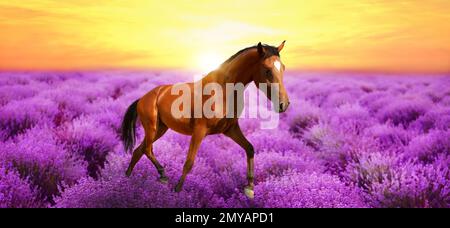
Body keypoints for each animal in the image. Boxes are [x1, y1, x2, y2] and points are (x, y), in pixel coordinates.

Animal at [120, 41, 288, 198]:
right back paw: (162, 175)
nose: (284, 104)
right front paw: (177, 190)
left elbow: (250, 148)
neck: (222, 91)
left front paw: (250, 188)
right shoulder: (199, 131)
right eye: (267, 69)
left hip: (161, 129)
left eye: (283, 68)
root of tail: (143, 97)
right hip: (152, 127)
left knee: (138, 150)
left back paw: (127, 179)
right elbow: (189, 162)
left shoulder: (230, 129)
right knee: (147, 149)